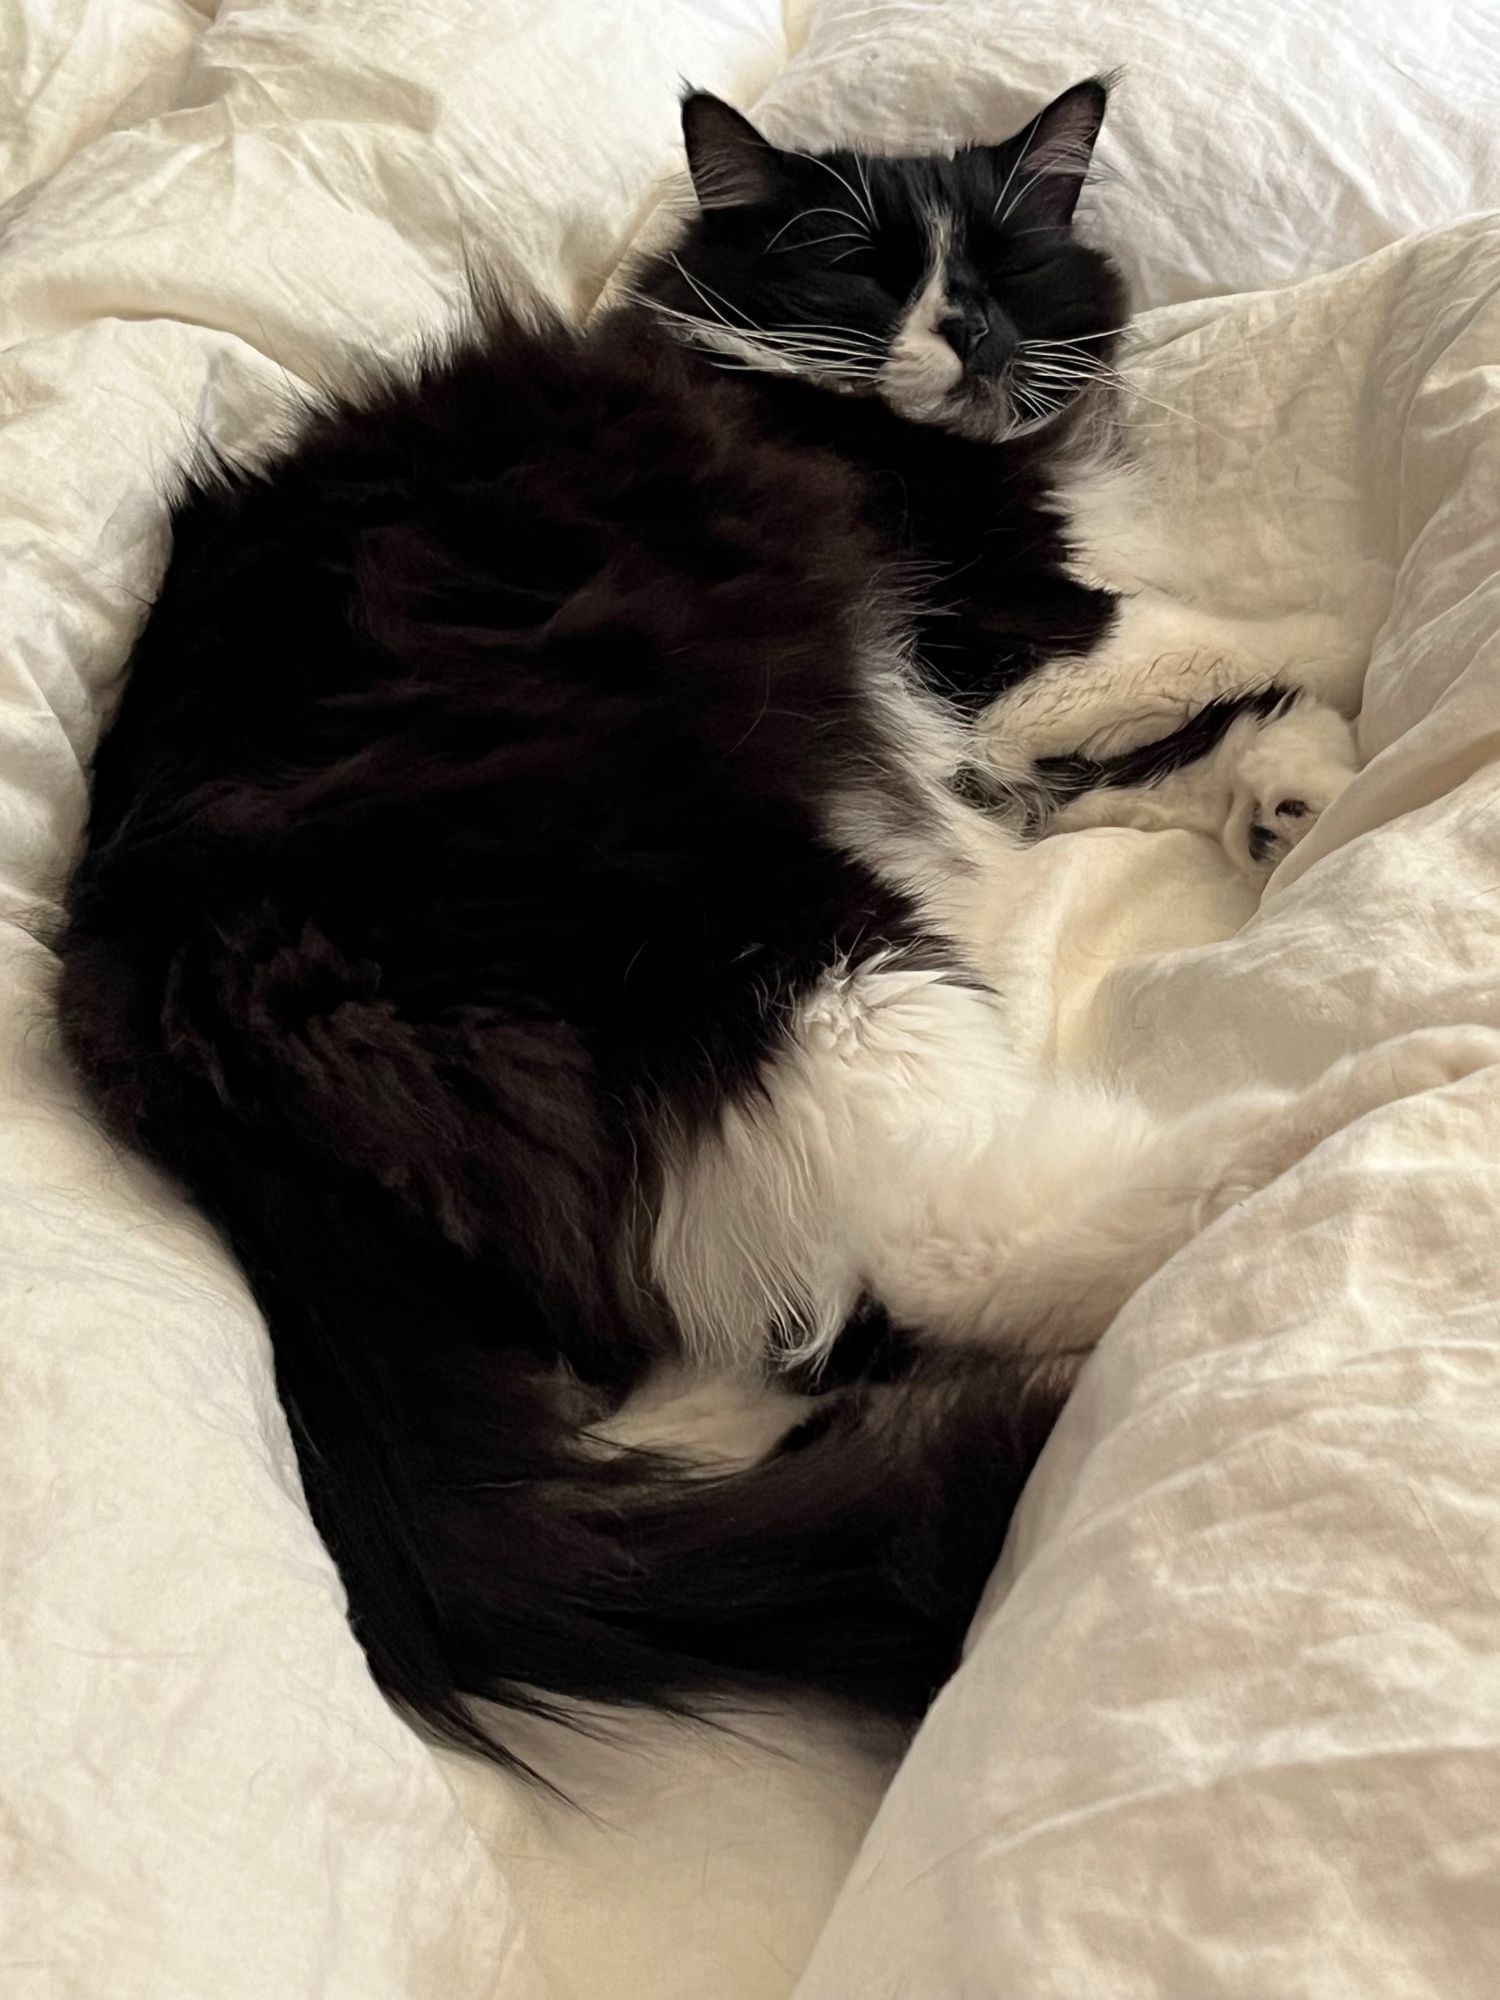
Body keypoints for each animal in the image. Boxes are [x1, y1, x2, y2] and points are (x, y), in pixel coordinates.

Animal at [55, 78, 1496, 1776]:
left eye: (1001, 265)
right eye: (866, 272)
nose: (972, 340)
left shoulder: (977, 731)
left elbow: (1143, 752)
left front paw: (1287, 783)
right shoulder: (990, 632)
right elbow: (1225, 629)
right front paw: (1356, 652)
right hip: (765, 934)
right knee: (934, 1244)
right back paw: (1320, 1120)